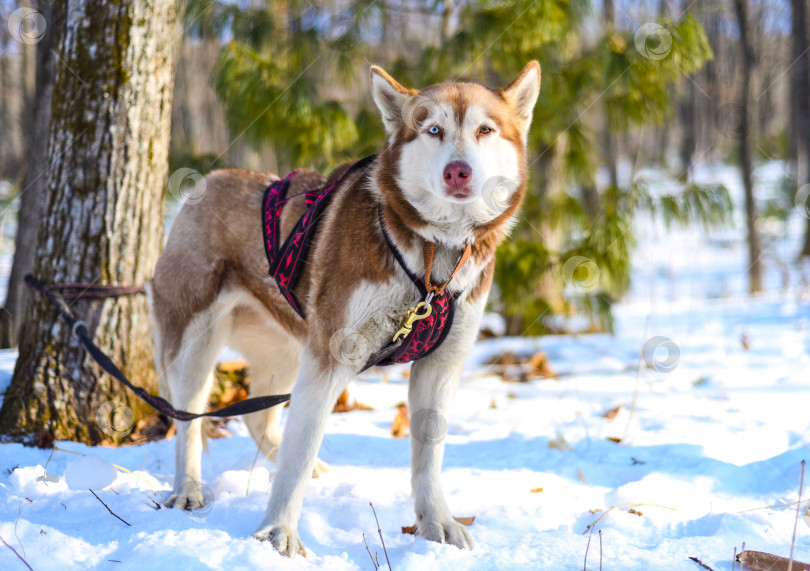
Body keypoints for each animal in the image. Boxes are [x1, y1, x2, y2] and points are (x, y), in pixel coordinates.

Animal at [148, 60, 540, 556]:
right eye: (433, 129)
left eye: (485, 129)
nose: (459, 172)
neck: (434, 257)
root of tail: (203, 184)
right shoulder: (331, 356)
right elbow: (300, 451)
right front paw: (278, 532)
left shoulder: (440, 364)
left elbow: (428, 460)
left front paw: (437, 525)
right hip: (195, 340)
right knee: (189, 419)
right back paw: (188, 488)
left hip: (285, 346)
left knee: (258, 415)